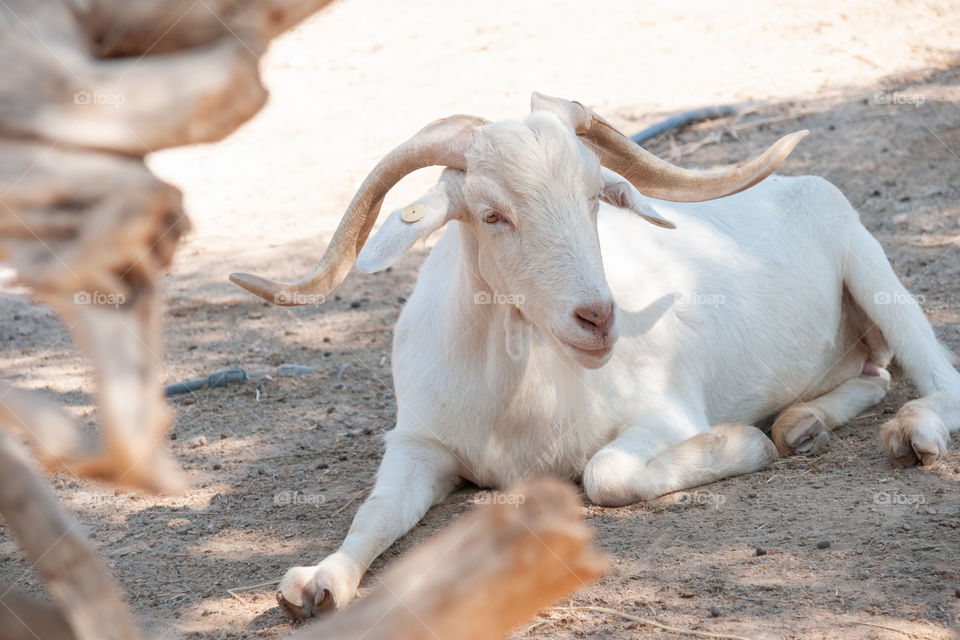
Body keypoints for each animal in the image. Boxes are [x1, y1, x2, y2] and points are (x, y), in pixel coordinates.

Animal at [230, 93, 960, 620]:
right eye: (491, 214)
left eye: (594, 199)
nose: (599, 318)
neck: (514, 405)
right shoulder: (420, 443)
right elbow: (377, 511)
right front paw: (316, 584)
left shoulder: (666, 412)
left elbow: (604, 473)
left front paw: (743, 446)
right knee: (872, 375)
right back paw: (802, 425)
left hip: (869, 263)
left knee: (935, 376)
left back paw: (908, 433)